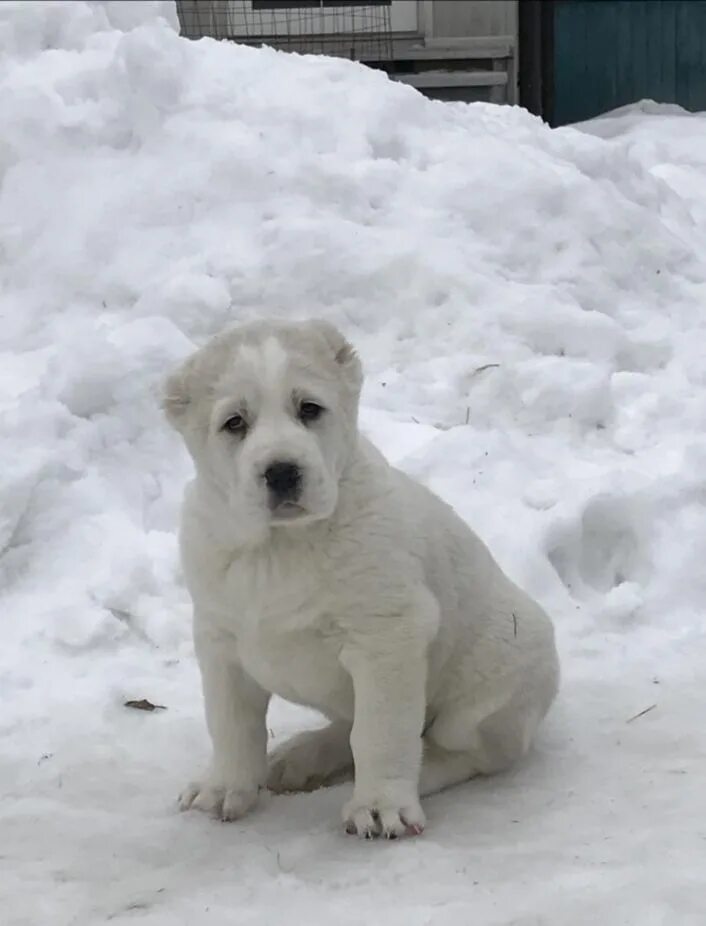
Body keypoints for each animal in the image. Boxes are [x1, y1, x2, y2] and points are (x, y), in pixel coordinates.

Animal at [162, 320, 560, 840]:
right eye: (234, 423)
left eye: (309, 409)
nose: (282, 471)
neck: (278, 547)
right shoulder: (220, 642)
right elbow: (231, 724)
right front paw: (224, 787)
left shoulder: (386, 638)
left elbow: (381, 732)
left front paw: (380, 805)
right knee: (347, 726)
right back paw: (302, 756)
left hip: (492, 687)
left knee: (461, 750)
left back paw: (412, 774)